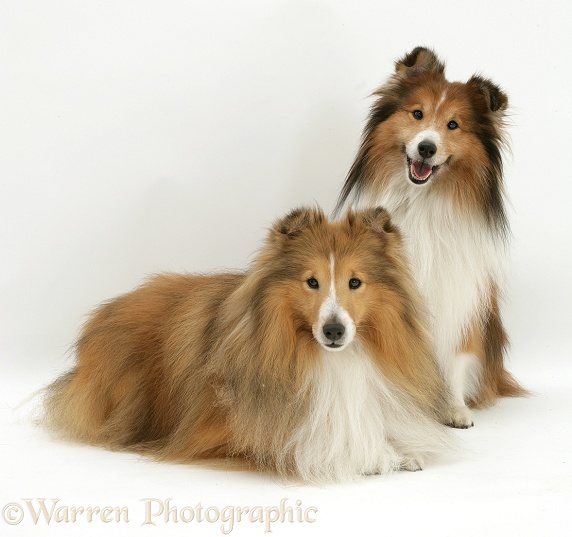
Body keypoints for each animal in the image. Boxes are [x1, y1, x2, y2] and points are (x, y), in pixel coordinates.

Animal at [43, 206, 452, 482]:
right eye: (312, 281)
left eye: (355, 282)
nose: (334, 331)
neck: (329, 358)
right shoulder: (229, 434)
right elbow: (310, 445)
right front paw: (377, 456)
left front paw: (404, 450)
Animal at [336, 48, 528, 430]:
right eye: (417, 114)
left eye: (453, 125)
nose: (426, 148)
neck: (422, 200)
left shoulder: (458, 294)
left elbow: (455, 357)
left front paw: (454, 410)